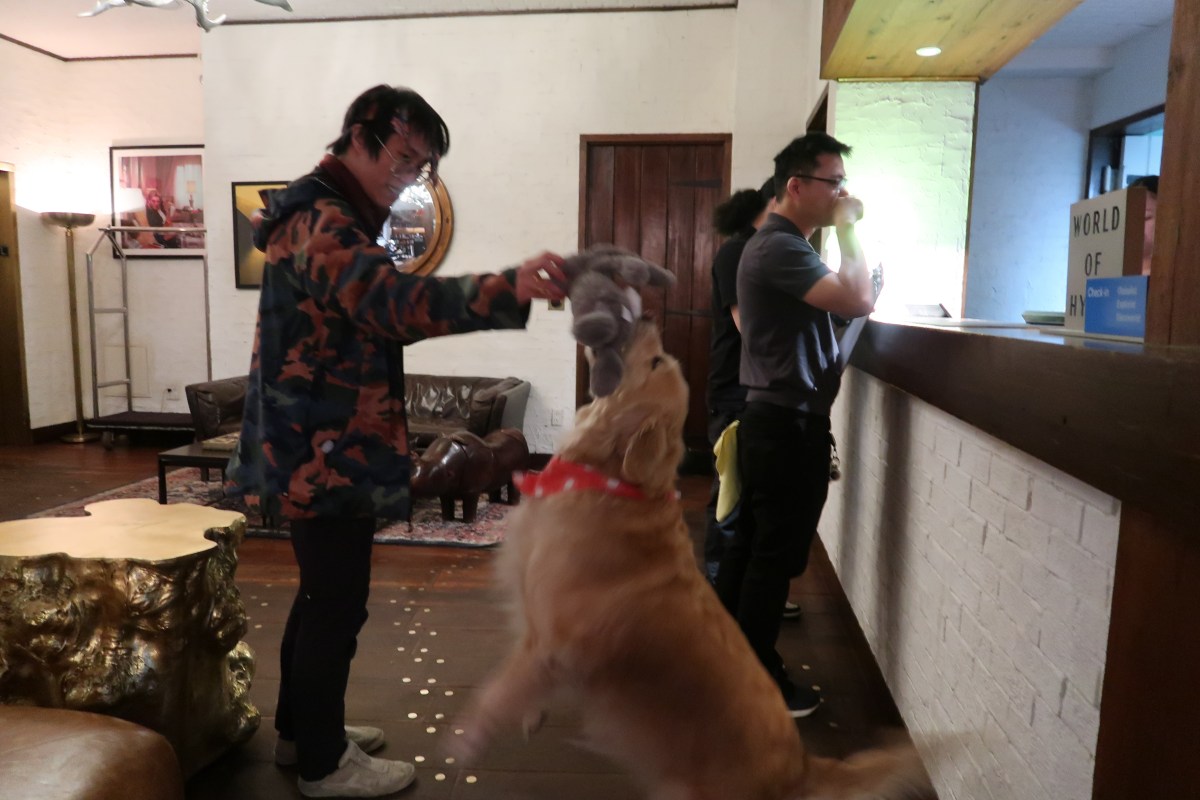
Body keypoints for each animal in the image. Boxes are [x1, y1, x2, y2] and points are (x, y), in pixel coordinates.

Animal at [450, 319, 932, 800]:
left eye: (655, 360)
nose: (646, 318)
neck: (610, 479)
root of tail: (802, 766)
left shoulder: (552, 641)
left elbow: (500, 690)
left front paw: (470, 738)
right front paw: (531, 715)